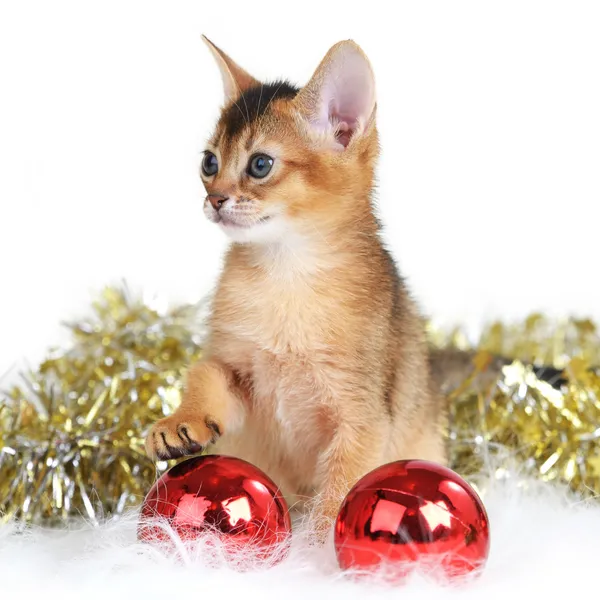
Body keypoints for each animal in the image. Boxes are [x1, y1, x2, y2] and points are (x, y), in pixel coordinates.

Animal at [144, 37, 446, 540]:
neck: (285, 278)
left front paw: (317, 546)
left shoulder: (361, 414)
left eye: (260, 164)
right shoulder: (241, 374)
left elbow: (342, 486)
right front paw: (182, 422)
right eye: (209, 162)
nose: (214, 198)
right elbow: (204, 372)